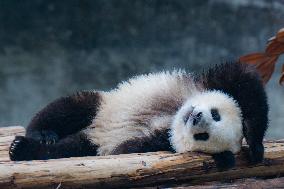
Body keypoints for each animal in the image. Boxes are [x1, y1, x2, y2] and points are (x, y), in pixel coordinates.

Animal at [7, 62, 268, 170]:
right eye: (215, 115)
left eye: (203, 136)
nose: (195, 117)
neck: (172, 119)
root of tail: (92, 133)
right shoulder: (206, 84)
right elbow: (243, 80)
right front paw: (256, 146)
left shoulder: (157, 143)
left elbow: (128, 149)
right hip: (102, 106)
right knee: (69, 108)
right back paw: (42, 134)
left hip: (88, 143)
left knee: (66, 149)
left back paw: (24, 149)